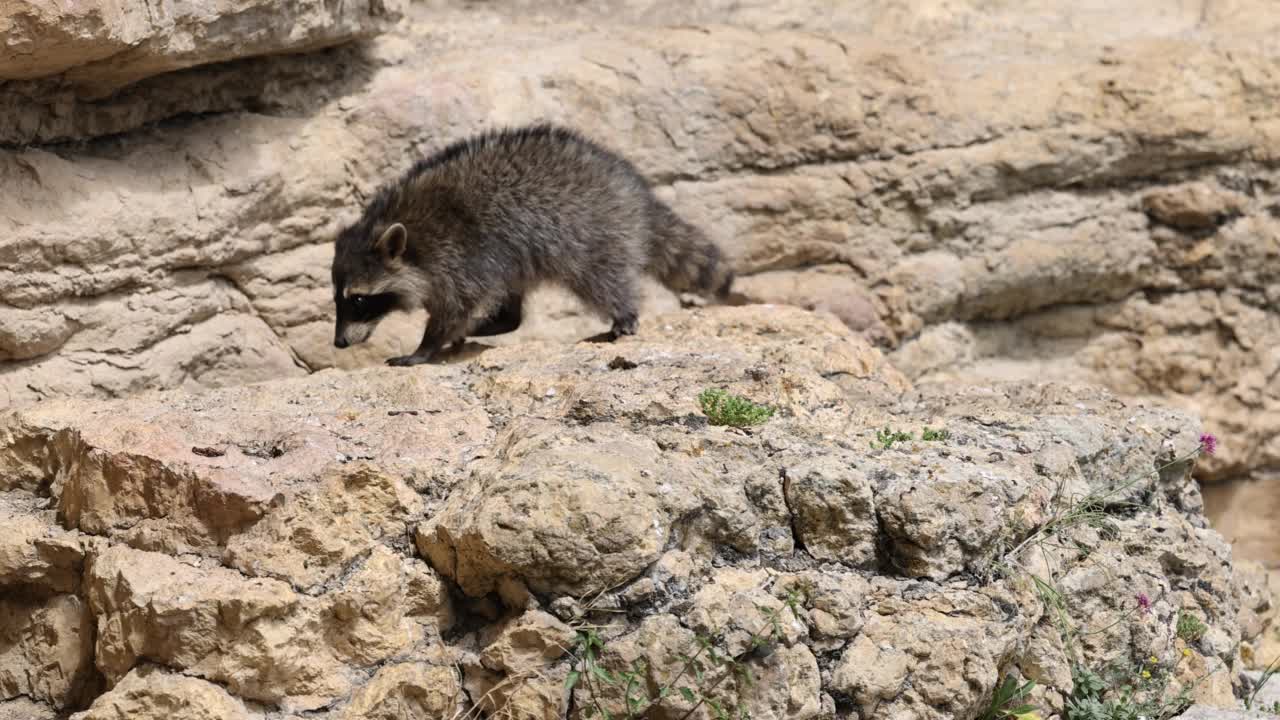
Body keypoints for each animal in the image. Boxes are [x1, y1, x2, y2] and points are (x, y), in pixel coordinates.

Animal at [332, 121, 732, 363]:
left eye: (359, 300)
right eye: (338, 299)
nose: (338, 344)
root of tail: (636, 193)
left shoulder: (458, 255)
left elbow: (456, 306)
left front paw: (426, 346)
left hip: (591, 232)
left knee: (601, 278)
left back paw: (623, 311)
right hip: (518, 253)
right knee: (513, 296)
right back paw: (496, 323)